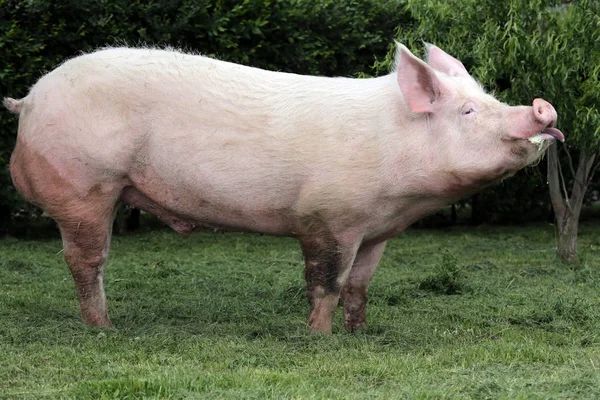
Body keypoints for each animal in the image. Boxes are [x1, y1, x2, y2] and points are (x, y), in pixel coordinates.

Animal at [3, 43, 564, 332]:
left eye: (489, 97)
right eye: (468, 111)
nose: (542, 108)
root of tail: (28, 99)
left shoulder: (377, 229)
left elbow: (360, 286)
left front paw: (361, 334)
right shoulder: (328, 217)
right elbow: (327, 283)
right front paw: (320, 340)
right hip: (84, 186)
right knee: (85, 261)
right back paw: (105, 329)